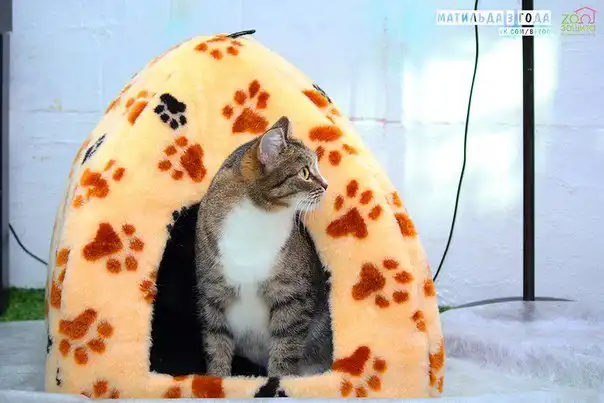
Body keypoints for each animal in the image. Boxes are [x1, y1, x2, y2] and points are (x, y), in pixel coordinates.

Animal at [194, 116, 333, 377]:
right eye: (305, 172)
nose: (327, 185)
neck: (257, 216)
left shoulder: (293, 295)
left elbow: (286, 345)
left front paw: (278, 380)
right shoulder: (212, 291)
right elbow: (215, 342)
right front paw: (217, 379)